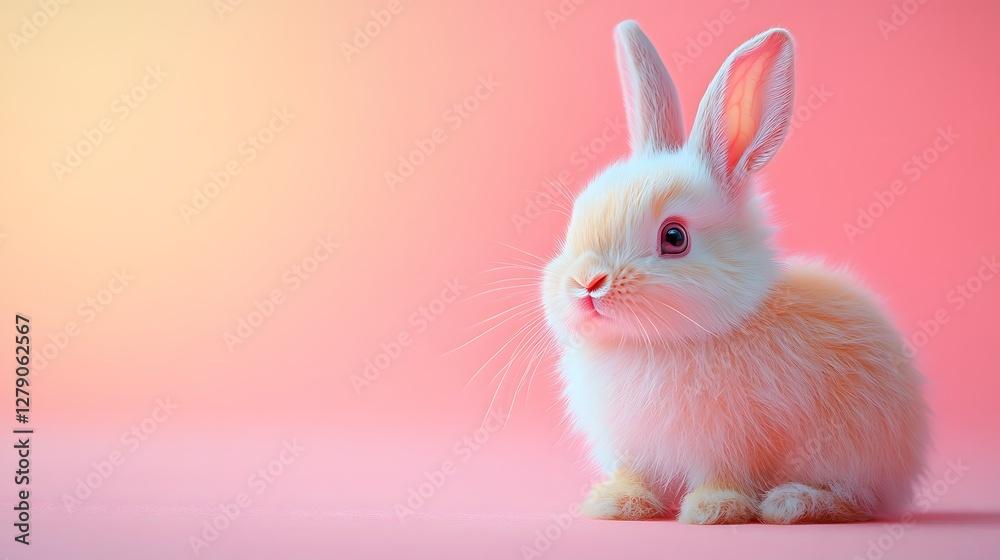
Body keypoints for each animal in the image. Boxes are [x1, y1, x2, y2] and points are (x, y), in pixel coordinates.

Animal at [539, 21, 929, 524]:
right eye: (576, 220)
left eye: (674, 238)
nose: (587, 284)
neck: (656, 344)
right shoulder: (633, 449)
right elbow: (637, 475)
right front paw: (616, 503)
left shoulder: (730, 445)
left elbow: (723, 476)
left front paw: (713, 510)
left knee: (860, 502)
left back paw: (792, 503)